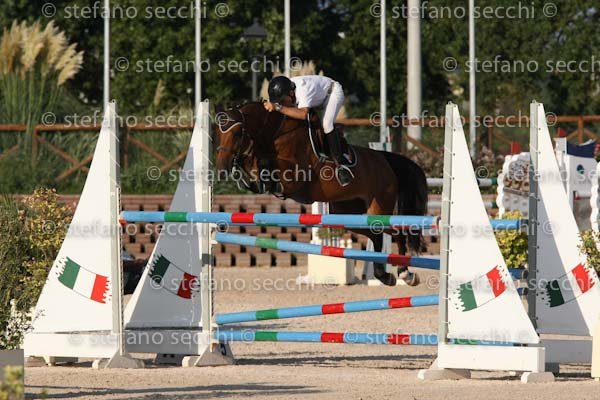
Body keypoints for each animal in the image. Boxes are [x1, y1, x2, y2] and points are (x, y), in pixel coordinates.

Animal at [215, 102, 428, 286]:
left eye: (236, 133)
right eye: (218, 132)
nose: (222, 167)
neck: (277, 134)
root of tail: (385, 160)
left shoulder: (293, 178)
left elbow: (268, 167)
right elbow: (255, 169)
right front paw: (244, 167)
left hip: (378, 208)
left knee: (396, 231)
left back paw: (405, 273)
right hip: (347, 214)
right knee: (377, 236)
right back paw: (386, 276)